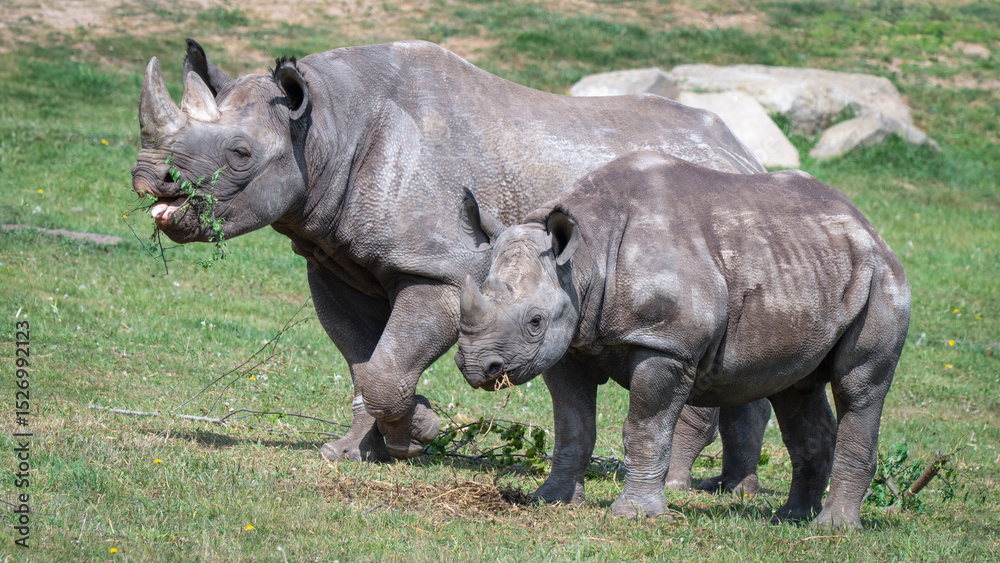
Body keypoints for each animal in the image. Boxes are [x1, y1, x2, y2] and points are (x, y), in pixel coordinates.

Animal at [130, 39, 771, 485]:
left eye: (240, 154)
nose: (147, 177)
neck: (326, 125)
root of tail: (747, 155)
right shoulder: (335, 260)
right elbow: (365, 361)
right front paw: (355, 452)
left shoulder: (440, 267)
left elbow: (386, 364)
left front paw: (420, 435)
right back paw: (727, 489)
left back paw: (679, 484)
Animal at [456, 151, 910, 528]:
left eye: (534, 321)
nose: (476, 367)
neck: (585, 259)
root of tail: (870, 229)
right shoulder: (570, 343)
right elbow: (572, 425)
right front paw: (551, 501)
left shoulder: (665, 344)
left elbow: (645, 428)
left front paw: (634, 516)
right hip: (809, 266)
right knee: (795, 390)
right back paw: (792, 518)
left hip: (882, 281)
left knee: (859, 388)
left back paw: (833, 528)